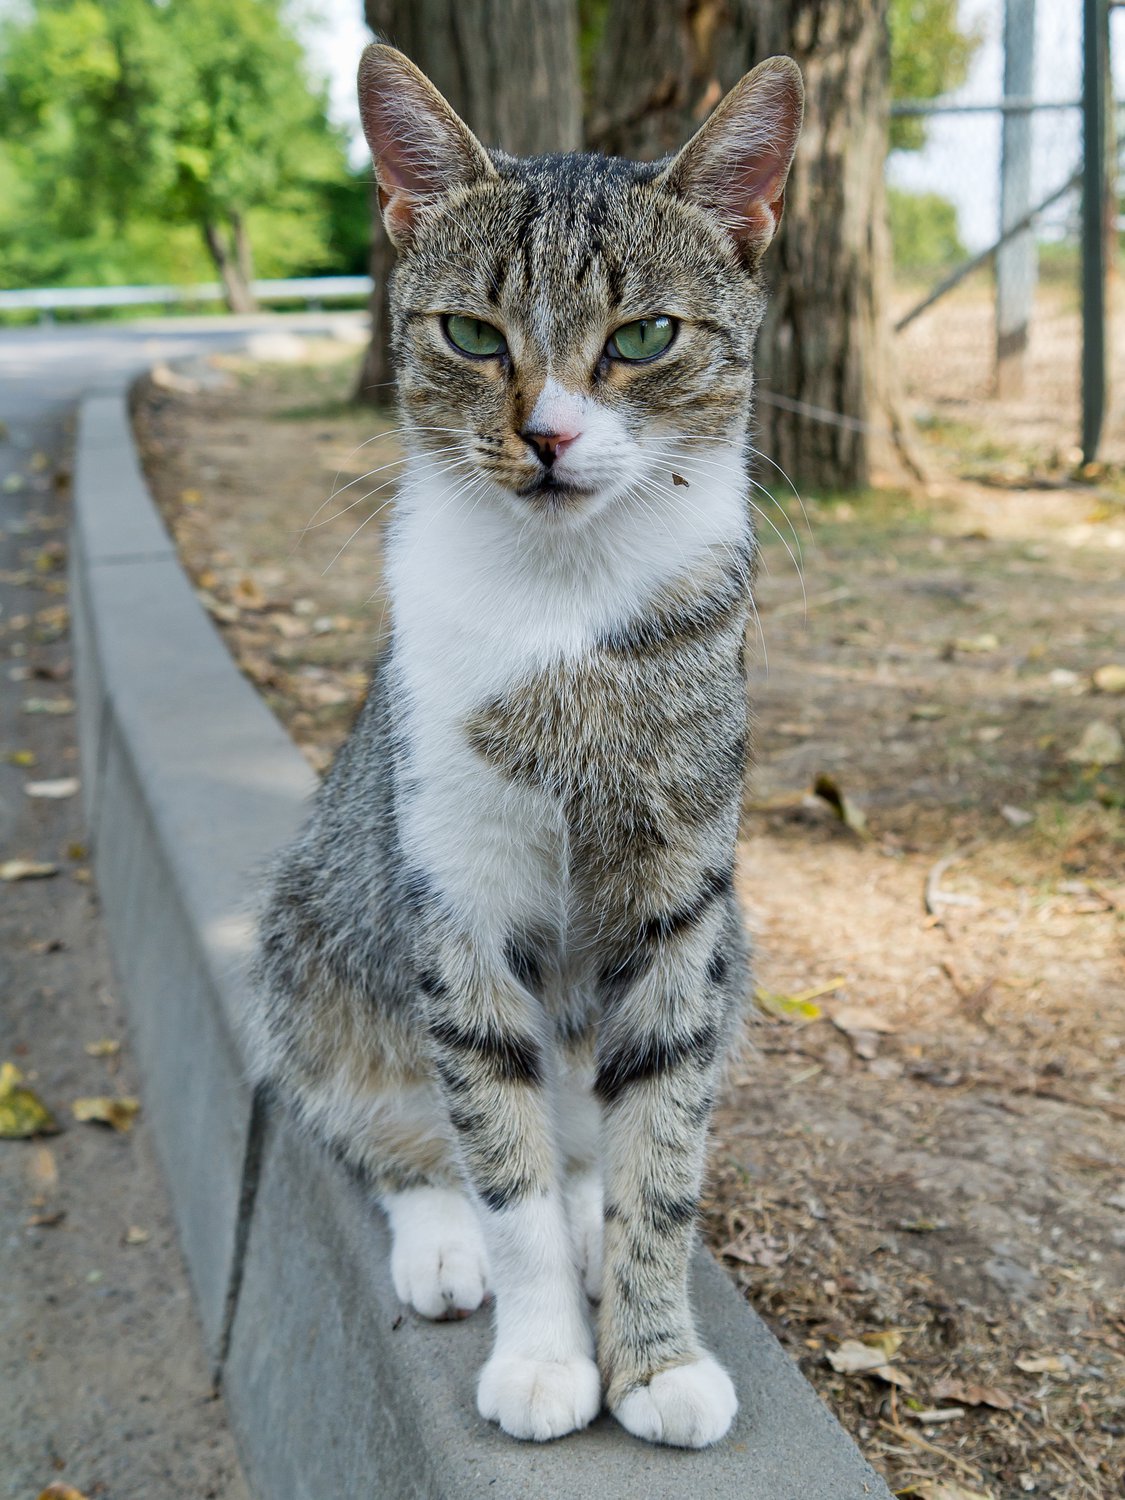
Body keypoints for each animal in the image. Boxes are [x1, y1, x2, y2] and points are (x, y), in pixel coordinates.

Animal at [250, 43, 804, 1452]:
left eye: (645, 336)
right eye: (472, 333)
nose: (547, 435)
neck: (562, 601)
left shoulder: (682, 900)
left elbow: (664, 1148)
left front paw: (655, 1358)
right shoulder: (457, 890)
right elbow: (501, 1158)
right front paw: (546, 1353)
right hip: (312, 938)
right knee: (391, 1121)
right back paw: (444, 1238)